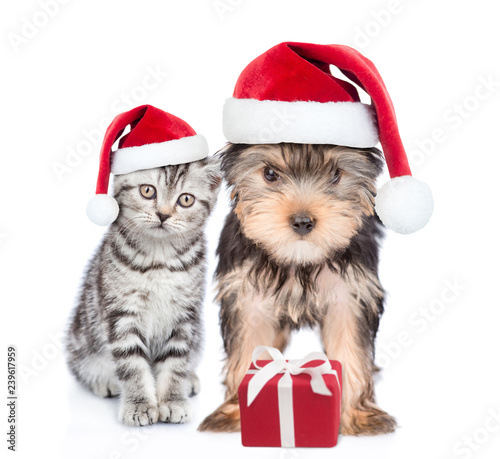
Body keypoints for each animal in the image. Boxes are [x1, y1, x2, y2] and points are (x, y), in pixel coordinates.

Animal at [64, 158, 221, 428]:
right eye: (148, 191)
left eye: (186, 199)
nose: (163, 214)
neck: (159, 258)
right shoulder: (121, 314)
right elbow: (132, 366)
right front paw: (139, 405)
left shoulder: (184, 316)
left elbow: (175, 363)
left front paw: (173, 400)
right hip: (80, 338)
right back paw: (103, 381)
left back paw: (189, 379)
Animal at [200, 142, 398, 436]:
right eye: (270, 174)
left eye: (336, 174)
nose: (303, 221)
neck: (298, 261)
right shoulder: (247, 296)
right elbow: (247, 347)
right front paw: (239, 413)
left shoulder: (350, 294)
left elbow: (351, 349)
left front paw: (355, 415)